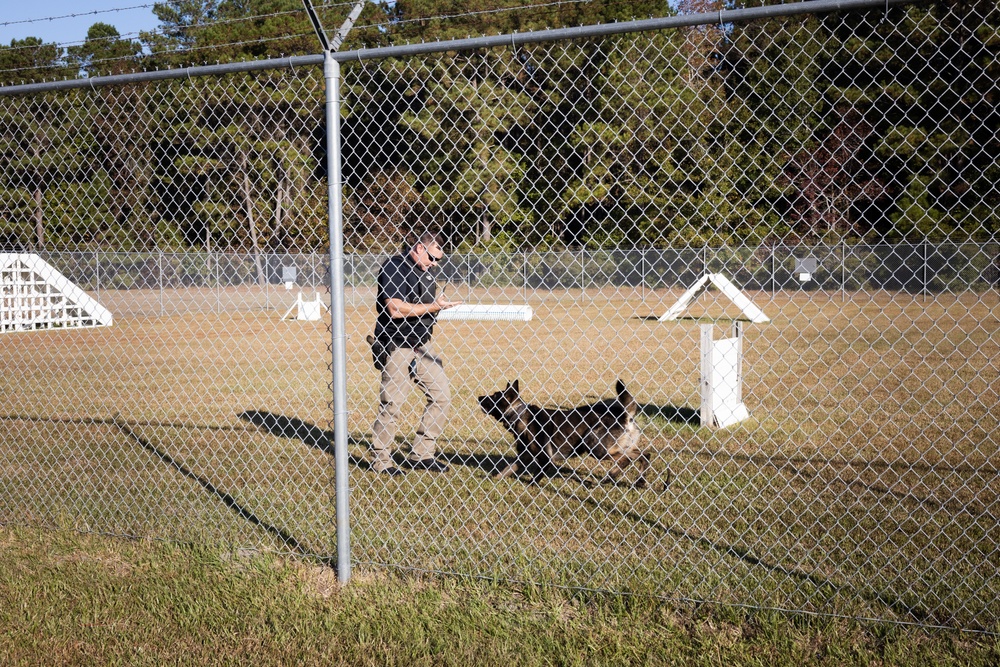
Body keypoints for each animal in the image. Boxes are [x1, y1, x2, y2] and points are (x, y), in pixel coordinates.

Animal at [476, 380, 648, 486]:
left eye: (494, 396)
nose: (478, 397)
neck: (520, 414)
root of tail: (625, 416)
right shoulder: (524, 456)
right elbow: (506, 469)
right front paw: (493, 479)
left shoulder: (546, 459)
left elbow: (536, 476)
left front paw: (530, 485)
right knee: (638, 456)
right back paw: (627, 479)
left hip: (595, 448)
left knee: (634, 457)